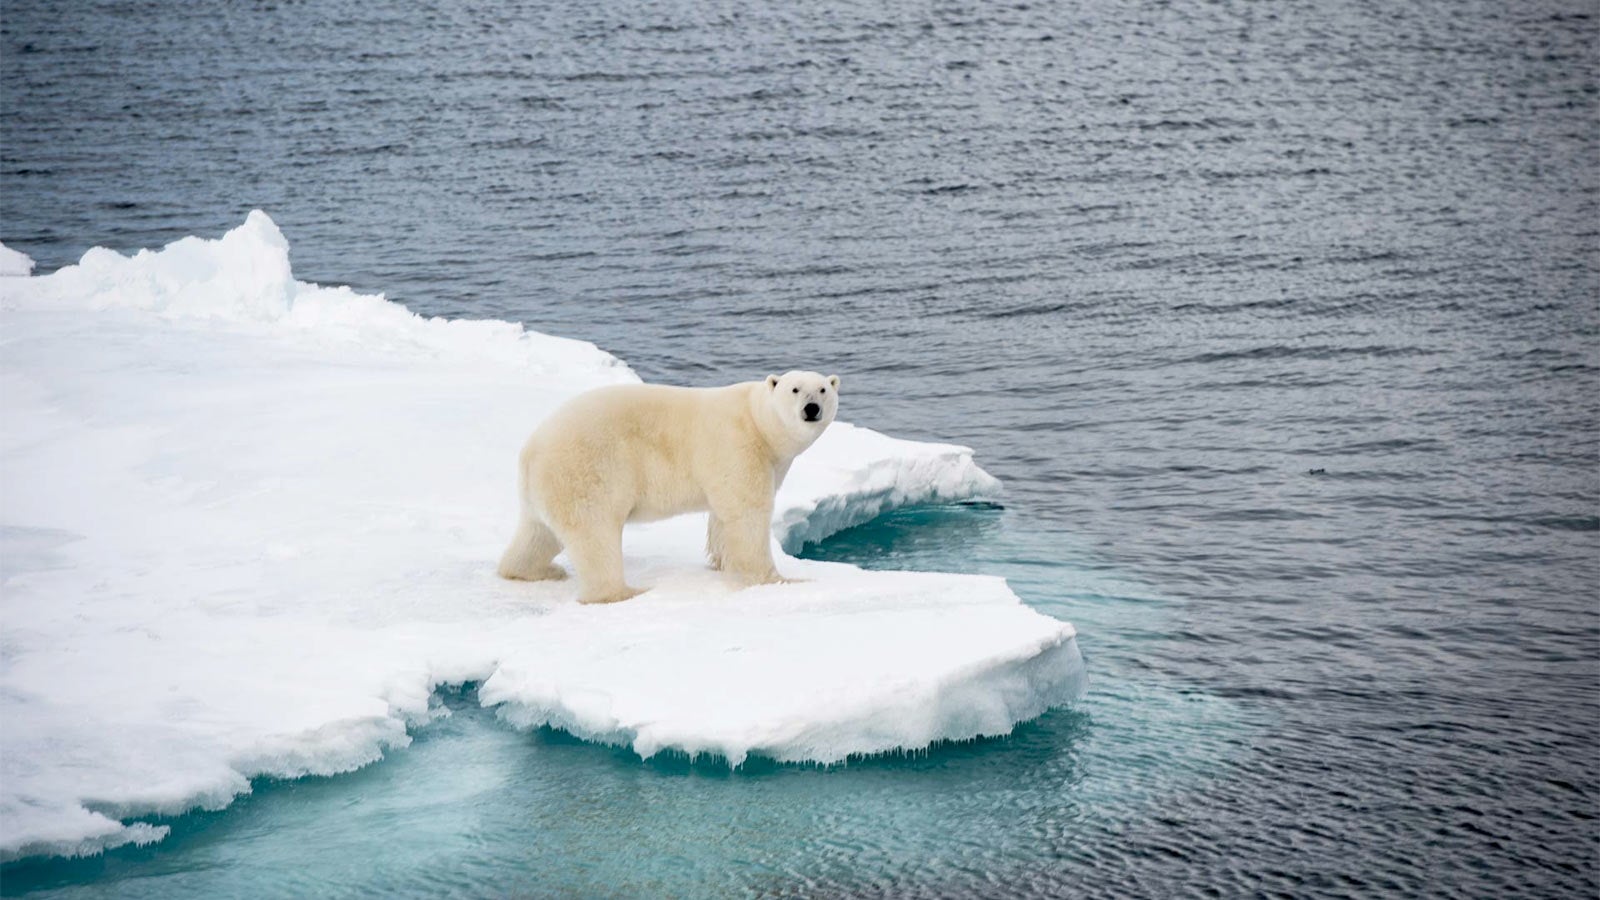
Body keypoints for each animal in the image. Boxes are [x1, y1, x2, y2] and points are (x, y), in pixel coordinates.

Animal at [496, 365, 844, 602]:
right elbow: (747, 512)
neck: (758, 422)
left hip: (546, 487)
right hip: (585, 470)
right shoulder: (737, 444)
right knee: (594, 534)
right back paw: (623, 592)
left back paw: (534, 570)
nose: (811, 408)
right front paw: (777, 579)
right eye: (795, 389)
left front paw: (720, 562)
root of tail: (530, 451)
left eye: (823, 390)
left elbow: (722, 516)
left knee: (538, 534)